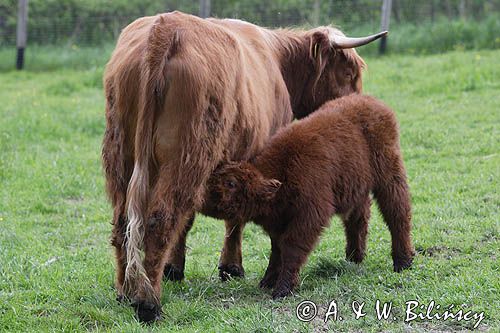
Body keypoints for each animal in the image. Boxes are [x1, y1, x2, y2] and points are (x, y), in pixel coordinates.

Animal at [100, 10, 382, 320]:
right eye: (349, 73)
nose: (355, 106)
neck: (279, 62)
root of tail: (166, 27)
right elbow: (236, 217)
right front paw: (231, 267)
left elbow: (192, 221)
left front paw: (175, 268)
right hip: (187, 154)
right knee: (161, 218)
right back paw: (148, 303)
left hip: (122, 156)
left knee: (124, 222)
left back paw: (125, 292)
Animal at [205, 94, 416, 298]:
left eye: (231, 183)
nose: (204, 189)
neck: (283, 170)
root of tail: (374, 103)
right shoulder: (279, 222)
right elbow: (277, 249)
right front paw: (268, 280)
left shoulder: (309, 215)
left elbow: (291, 247)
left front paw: (282, 288)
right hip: (356, 187)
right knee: (358, 219)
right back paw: (354, 258)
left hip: (390, 176)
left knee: (397, 211)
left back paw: (403, 261)